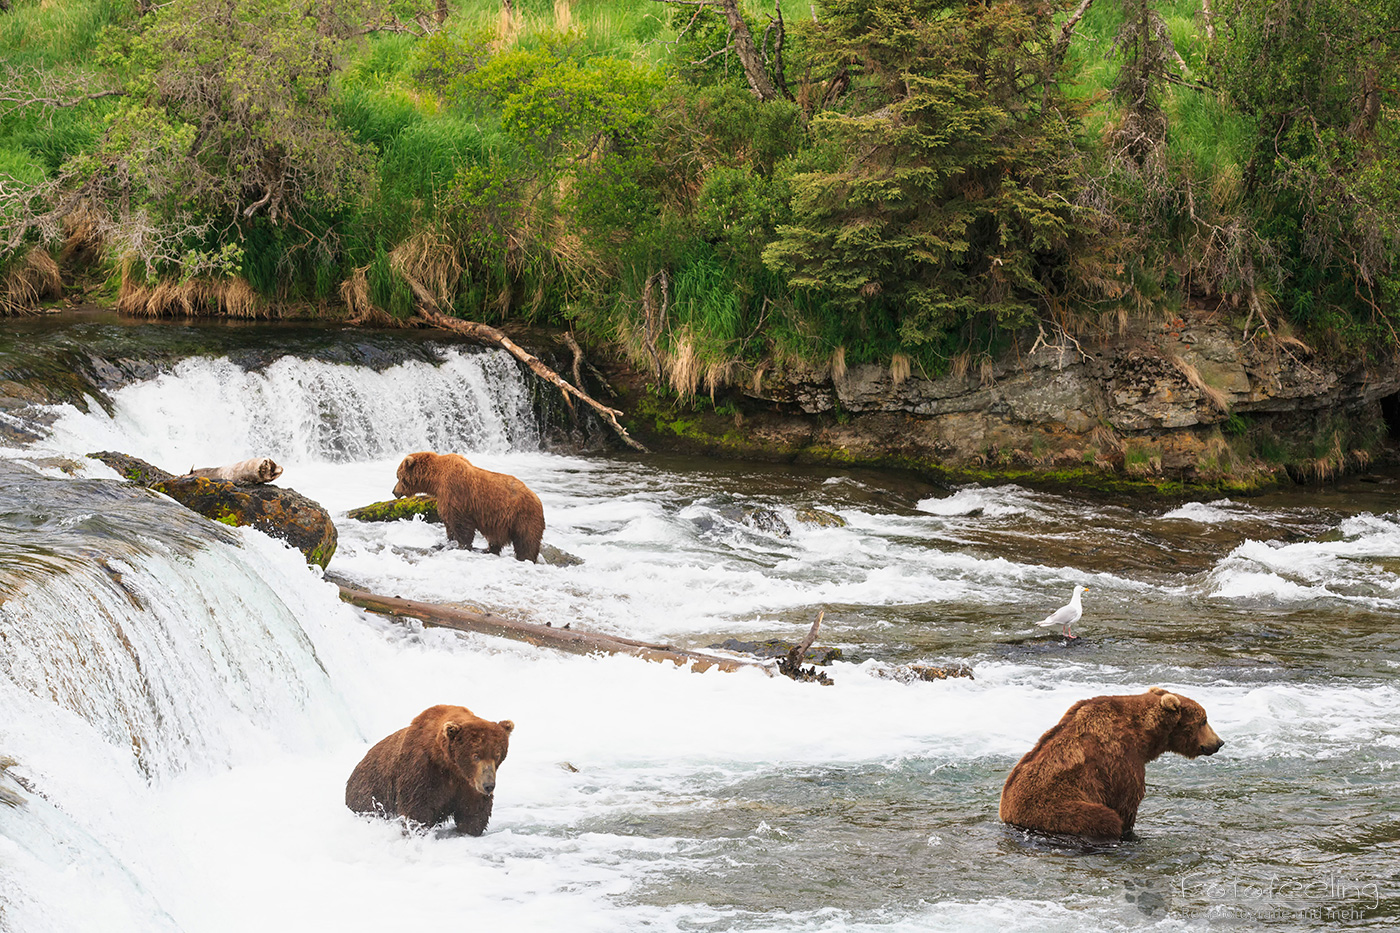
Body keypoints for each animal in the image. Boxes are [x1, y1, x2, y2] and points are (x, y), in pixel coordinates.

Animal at [345, 704, 514, 836]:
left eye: (497, 755)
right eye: (476, 755)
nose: (489, 785)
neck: (449, 766)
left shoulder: (468, 782)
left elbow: (473, 809)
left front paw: (470, 829)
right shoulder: (422, 769)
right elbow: (418, 808)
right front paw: (418, 830)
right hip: (370, 791)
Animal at [392, 451, 545, 562]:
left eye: (398, 476)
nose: (394, 491)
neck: (436, 479)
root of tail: (537, 499)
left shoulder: (456, 493)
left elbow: (461, 525)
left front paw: (462, 546)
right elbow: (449, 525)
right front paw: (448, 542)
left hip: (522, 517)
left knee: (526, 541)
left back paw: (525, 558)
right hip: (502, 521)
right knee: (496, 539)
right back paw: (487, 550)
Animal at [998, 686, 1223, 841]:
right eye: (1203, 720)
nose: (1219, 742)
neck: (1143, 736)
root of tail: (1006, 814)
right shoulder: (1119, 759)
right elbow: (1126, 802)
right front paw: (1129, 831)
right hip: (1056, 808)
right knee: (1103, 818)